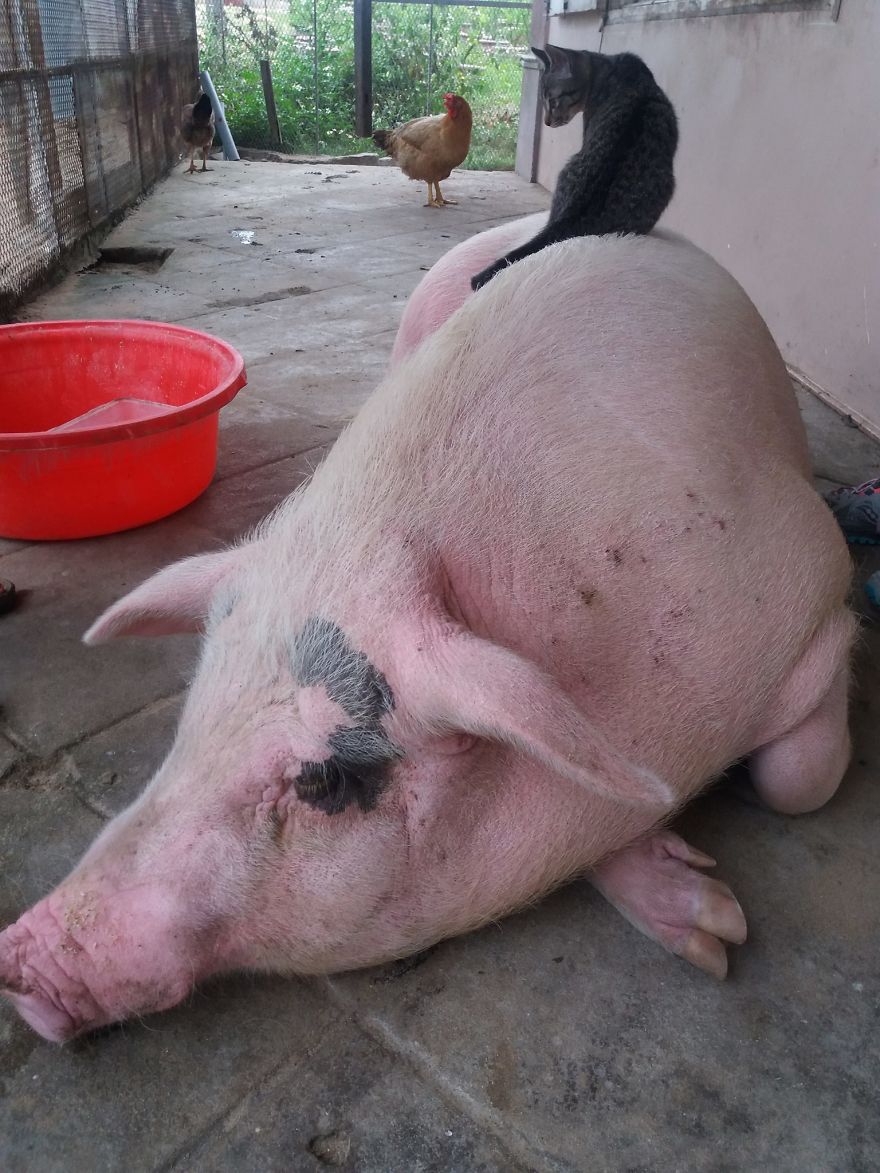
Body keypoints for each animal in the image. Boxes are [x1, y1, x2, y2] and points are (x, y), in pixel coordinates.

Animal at [0, 228, 855, 1043]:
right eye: (193, 714)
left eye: (319, 781)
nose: (20, 956)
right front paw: (707, 920)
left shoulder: (814, 586)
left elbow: (801, 782)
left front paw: (721, 937)